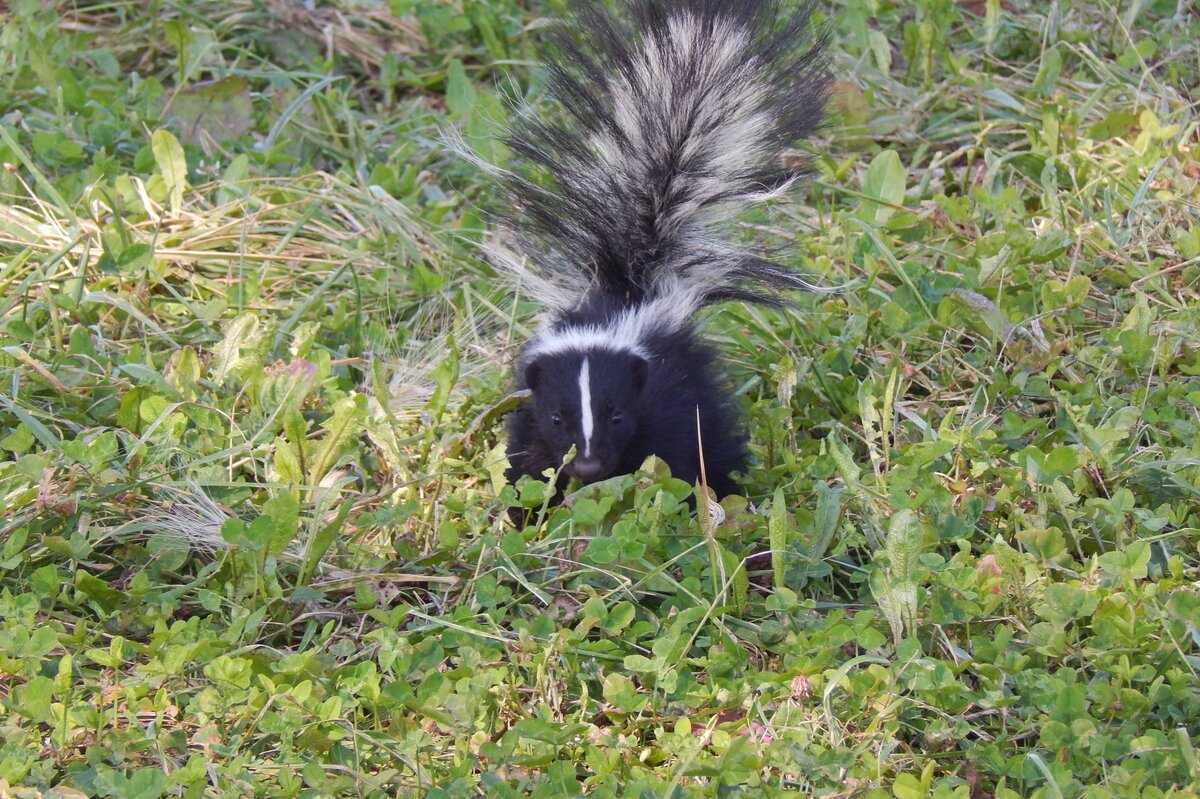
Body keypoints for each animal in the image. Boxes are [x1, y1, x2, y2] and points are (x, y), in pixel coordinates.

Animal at [482, 0, 830, 499]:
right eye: (557, 417)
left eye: (617, 414)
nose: (588, 465)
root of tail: (633, 279)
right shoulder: (528, 416)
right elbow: (527, 466)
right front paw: (522, 508)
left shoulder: (668, 401)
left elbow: (679, 461)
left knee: (714, 438)